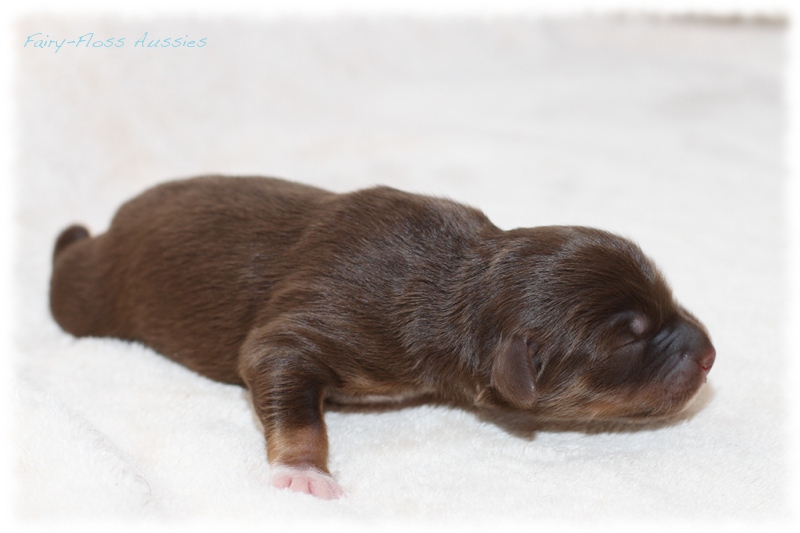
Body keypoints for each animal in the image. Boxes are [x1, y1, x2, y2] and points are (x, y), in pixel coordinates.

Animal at [48, 176, 712, 498]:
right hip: (89, 295)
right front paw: (305, 473)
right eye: (629, 342)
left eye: (665, 301)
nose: (709, 355)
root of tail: (117, 219)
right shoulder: (315, 323)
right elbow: (277, 372)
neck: (464, 280)